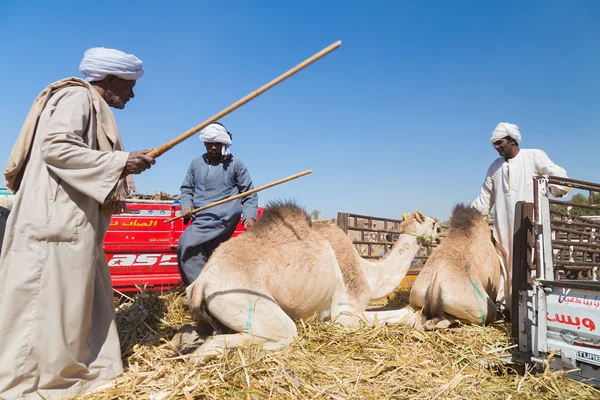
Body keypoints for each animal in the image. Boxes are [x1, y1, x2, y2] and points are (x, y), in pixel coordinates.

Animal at [180, 200, 438, 360]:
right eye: (434, 224)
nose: (439, 236)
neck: (370, 274)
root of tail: (202, 282)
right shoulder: (344, 313)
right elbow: (402, 313)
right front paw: (419, 321)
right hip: (244, 301)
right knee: (278, 334)